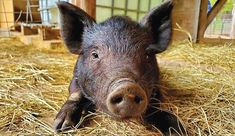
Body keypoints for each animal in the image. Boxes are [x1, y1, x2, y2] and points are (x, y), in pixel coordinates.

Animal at [53, 0, 185, 135]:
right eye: (95, 55)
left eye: (147, 55)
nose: (127, 87)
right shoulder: (75, 76)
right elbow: (76, 93)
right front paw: (61, 126)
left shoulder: (156, 85)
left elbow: (157, 104)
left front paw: (177, 130)